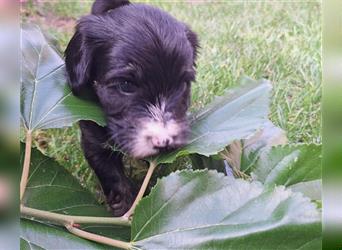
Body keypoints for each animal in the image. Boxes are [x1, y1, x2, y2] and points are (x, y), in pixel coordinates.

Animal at [64, 0, 198, 216]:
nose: (164, 141)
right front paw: (126, 207)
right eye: (125, 85)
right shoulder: (92, 136)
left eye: (183, 85)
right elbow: (111, 173)